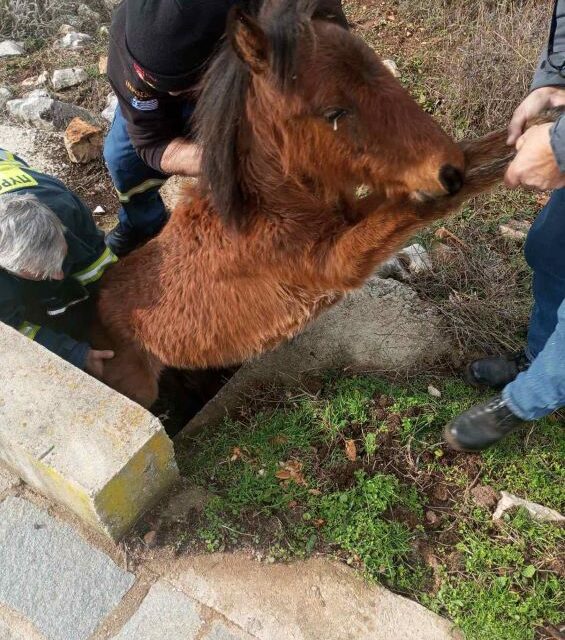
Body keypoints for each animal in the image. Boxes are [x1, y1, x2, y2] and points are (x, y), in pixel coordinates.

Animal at [93, 0, 520, 408]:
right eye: (333, 112)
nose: (448, 170)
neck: (267, 209)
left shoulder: (349, 218)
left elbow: (472, 156)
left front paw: (526, 134)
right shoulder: (335, 265)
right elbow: (417, 209)